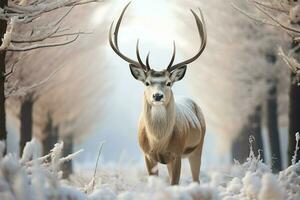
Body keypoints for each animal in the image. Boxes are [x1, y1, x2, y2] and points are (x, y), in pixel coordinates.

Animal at [109, 2, 206, 185]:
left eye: (168, 83)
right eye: (147, 82)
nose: (158, 96)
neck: (159, 141)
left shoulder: (176, 154)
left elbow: (175, 183)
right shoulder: (147, 155)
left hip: (198, 147)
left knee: (196, 178)